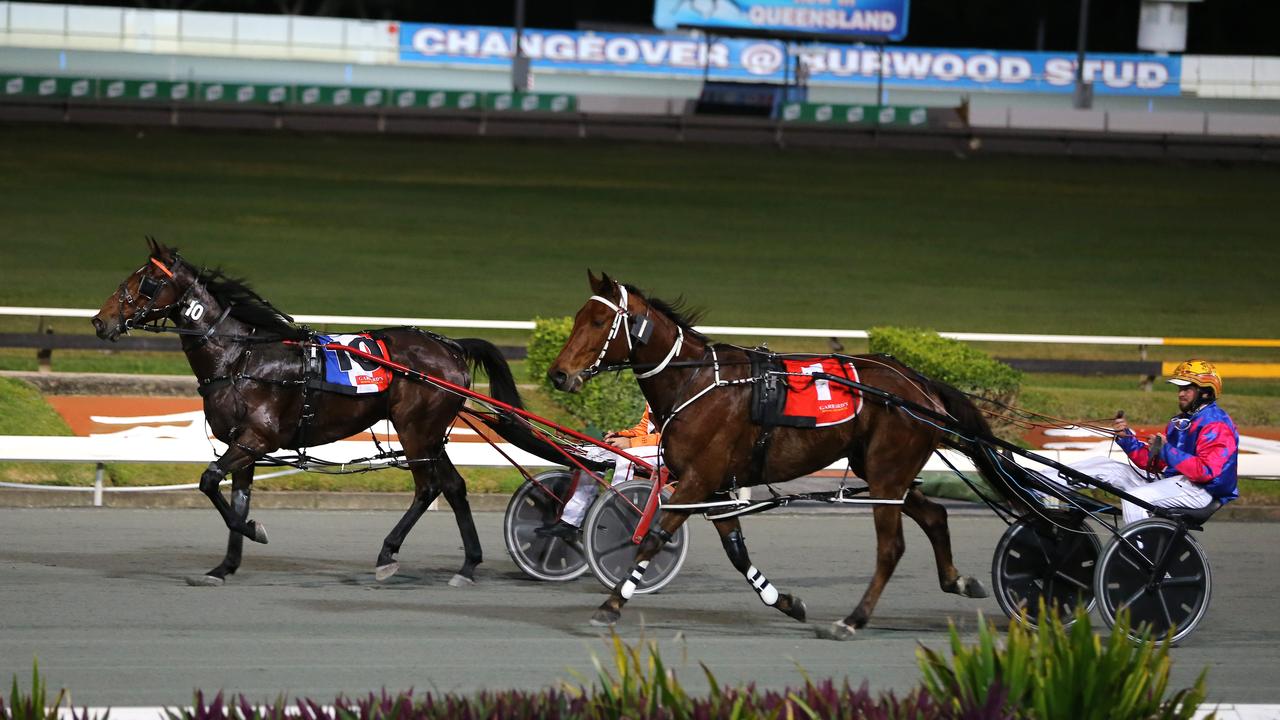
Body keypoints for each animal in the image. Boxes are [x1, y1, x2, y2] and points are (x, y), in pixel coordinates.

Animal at [91, 238, 524, 586]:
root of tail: (452, 346)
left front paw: (255, 531)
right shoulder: (243, 445)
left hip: (415, 429)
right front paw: (224, 566)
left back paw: (388, 555)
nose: (99, 321)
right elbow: (236, 498)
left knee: (428, 487)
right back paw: (468, 565)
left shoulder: (257, 439)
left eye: (145, 281)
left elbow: (209, 481)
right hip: (432, 435)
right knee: (454, 487)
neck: (241, 357)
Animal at [545, 271, 1013, 635]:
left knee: (891, 547)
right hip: (883, 472)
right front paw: (786, 601)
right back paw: (958, 581)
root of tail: (920, 384)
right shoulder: (715, 488)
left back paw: (852, 620)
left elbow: (653, 539)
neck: (697, 382)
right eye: (577, 317)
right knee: (935, 515)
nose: (558, 374)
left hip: (886, 473)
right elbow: (737, 553)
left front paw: (610, 605)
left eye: (599, 320)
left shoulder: (698, 479)